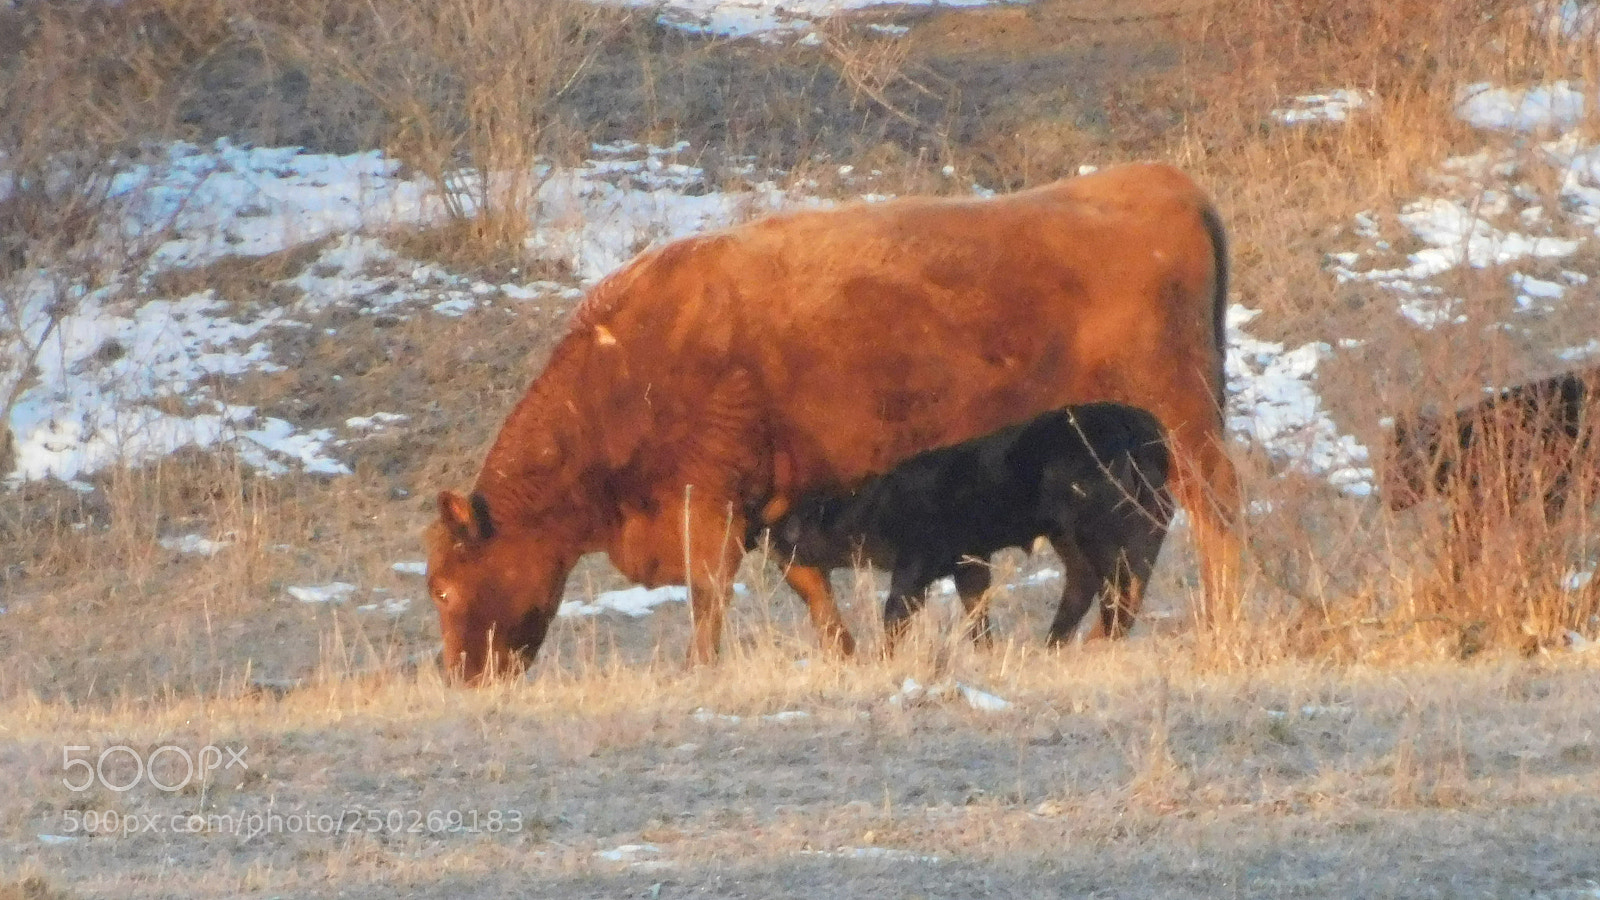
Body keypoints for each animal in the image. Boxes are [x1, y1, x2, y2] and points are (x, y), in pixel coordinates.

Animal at [758, 402, 1173, 650]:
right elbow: (975, 606)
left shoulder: (917, 560)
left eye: (792, 527)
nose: (766, 538)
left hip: (1100, 525)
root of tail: (1142, 428)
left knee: (1121, 578)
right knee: (1090, 580)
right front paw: (984, 648)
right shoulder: (968, 560)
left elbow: (897, 609)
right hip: (1072, 533)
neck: (875, 505)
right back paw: (1055, 642)